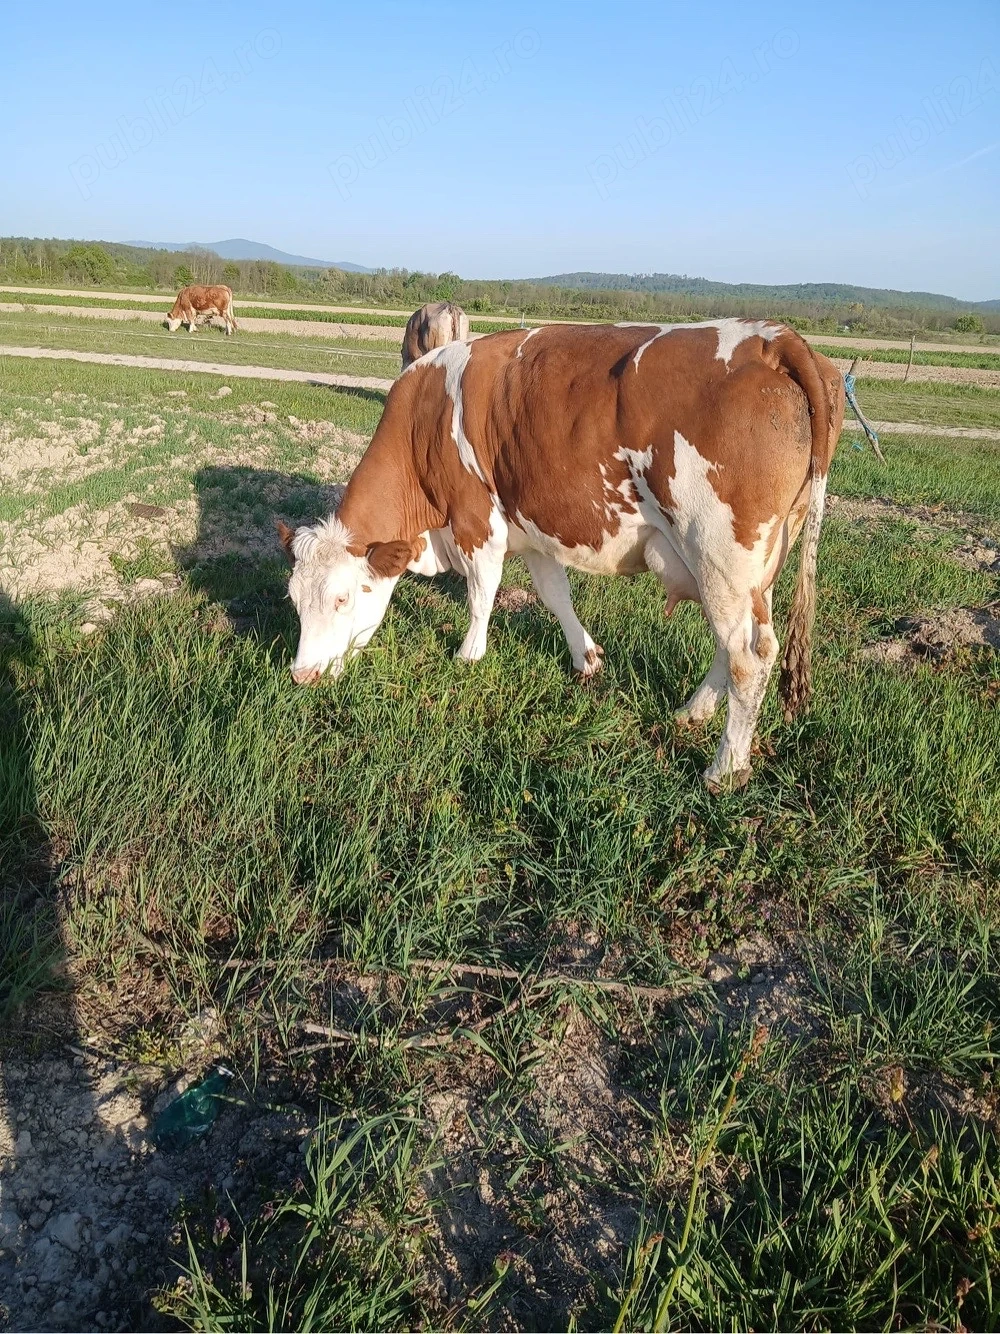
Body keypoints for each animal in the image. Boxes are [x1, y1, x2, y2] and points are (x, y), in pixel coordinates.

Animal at [277, 319, 845, 792]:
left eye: (343, 599)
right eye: (295, 601)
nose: (301, 675)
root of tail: (770, 337)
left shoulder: (476, 523)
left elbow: (481, 595)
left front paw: (468, 656)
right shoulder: (532, 531)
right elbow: (556, 597)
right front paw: (585, 657)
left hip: (718, 550)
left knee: (751, 656)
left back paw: (725, 768)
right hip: (749, 566)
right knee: (735, 644)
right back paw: (693, 711)